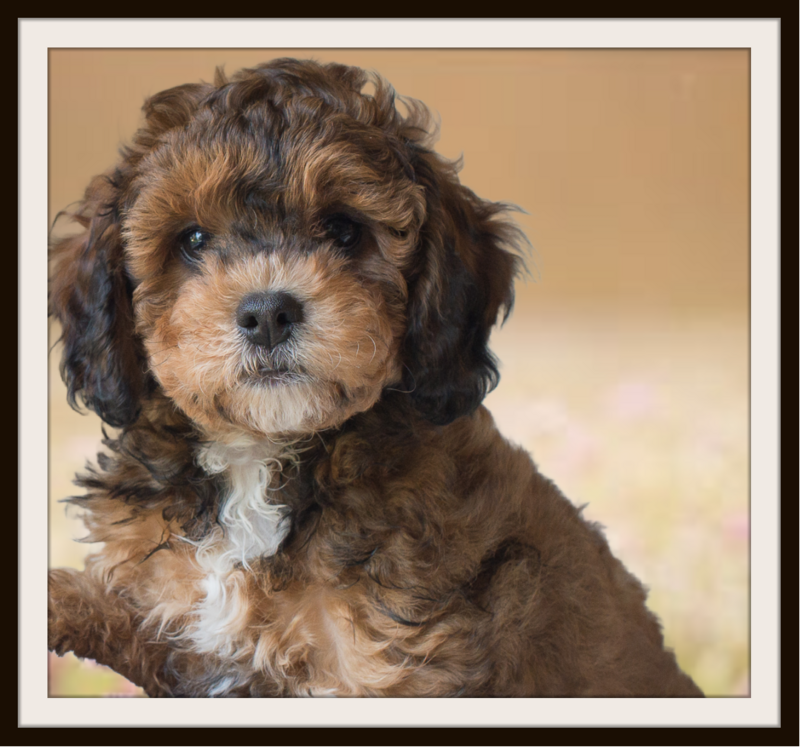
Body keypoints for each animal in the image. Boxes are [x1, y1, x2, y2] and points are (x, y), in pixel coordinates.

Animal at [47, 60, 704, 700]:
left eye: (344, 230)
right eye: (193, 240)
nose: (267, 313)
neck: (260, 458)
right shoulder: (168, 614)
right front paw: (57, 603)